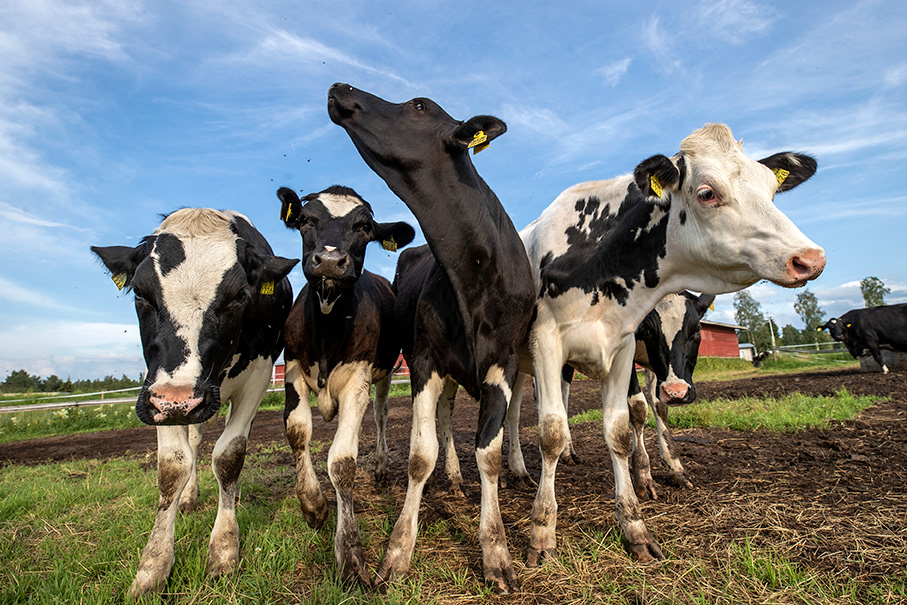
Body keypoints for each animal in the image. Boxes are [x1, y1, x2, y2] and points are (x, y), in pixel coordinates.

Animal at [92, 208, 297, 597]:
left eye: (239, 295)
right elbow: (173, 466)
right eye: (140, 294)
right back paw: (190, 496)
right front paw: (153, 565)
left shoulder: (260, 373)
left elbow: (230, 456)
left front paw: (224, 548)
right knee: (195, 440)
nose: (180, 400)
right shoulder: (157, 391)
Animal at [276, 185, 414, 587]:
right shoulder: (293, 369)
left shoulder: (358, 381)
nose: (328, 260)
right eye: (305, 220)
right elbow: (297, 432)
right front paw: (313, 505)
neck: (327, 322)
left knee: (382, 415)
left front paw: (350, 553)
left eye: (364, 226)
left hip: (385, 373)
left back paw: (381, 466)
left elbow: (342, 462)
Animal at [328, 83, 536, 593]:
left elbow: (489, 453)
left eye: (419, 106)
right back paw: (450, 476)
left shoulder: (503, 362)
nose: (341, 87)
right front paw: (397, 552)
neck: (473, 276)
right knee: (434, 418)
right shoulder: (424, 361)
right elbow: (421, 455)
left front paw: (496, 552)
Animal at [520, 123, 825, 567]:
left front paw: (636, 522)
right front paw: (542, 532)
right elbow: (551, 432)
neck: (598, 261)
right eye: (707, 193)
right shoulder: (548, 342)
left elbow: (623, 428)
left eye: (771, 189)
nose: (810, 259)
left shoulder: (623, 349)